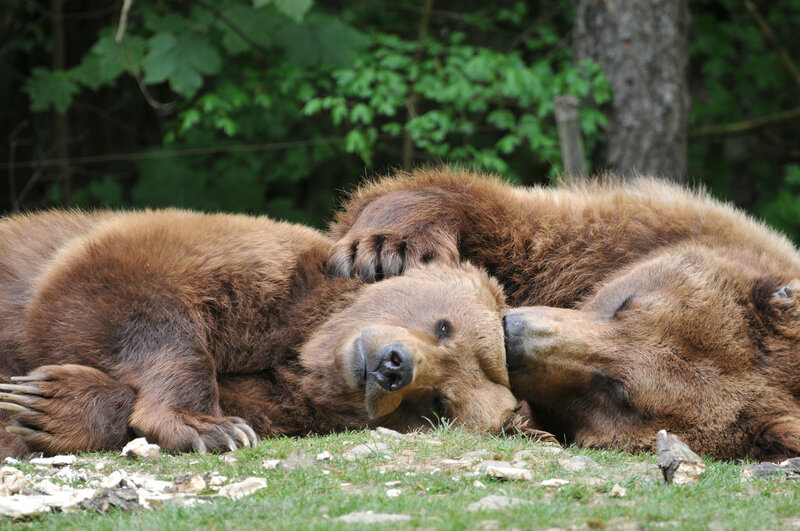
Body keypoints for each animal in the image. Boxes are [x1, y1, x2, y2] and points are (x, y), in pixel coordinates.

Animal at [0, 208, 520, 456]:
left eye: (439, 403)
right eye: (444, 325)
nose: (394, 366)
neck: (298, 349)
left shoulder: (278, 399)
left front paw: (48, 406)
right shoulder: (262, 272)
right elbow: (126, 289)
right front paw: (206, 425)